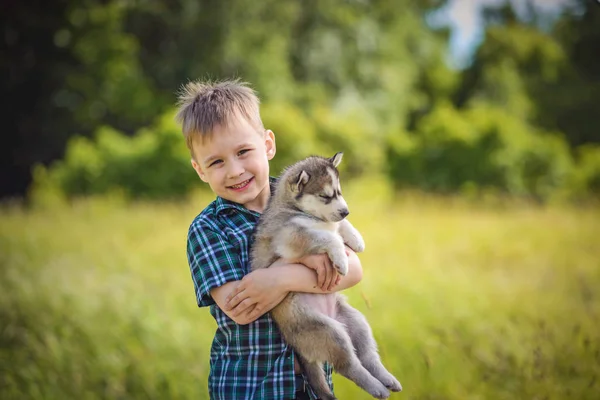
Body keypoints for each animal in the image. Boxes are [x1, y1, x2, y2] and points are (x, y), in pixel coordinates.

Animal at [251, 153, 400, 400]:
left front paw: (356, 238)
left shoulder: (329, 223)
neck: (298, 210)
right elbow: (329, 237)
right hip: (328, 331)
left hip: (355, 322)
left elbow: (338, 226)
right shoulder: (292, 235)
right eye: (324, 196)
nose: (346, 211)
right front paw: (341, 258)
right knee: (349, 366)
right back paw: (377, 387)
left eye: (339, 192)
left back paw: (387, 378)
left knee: (368, 355)